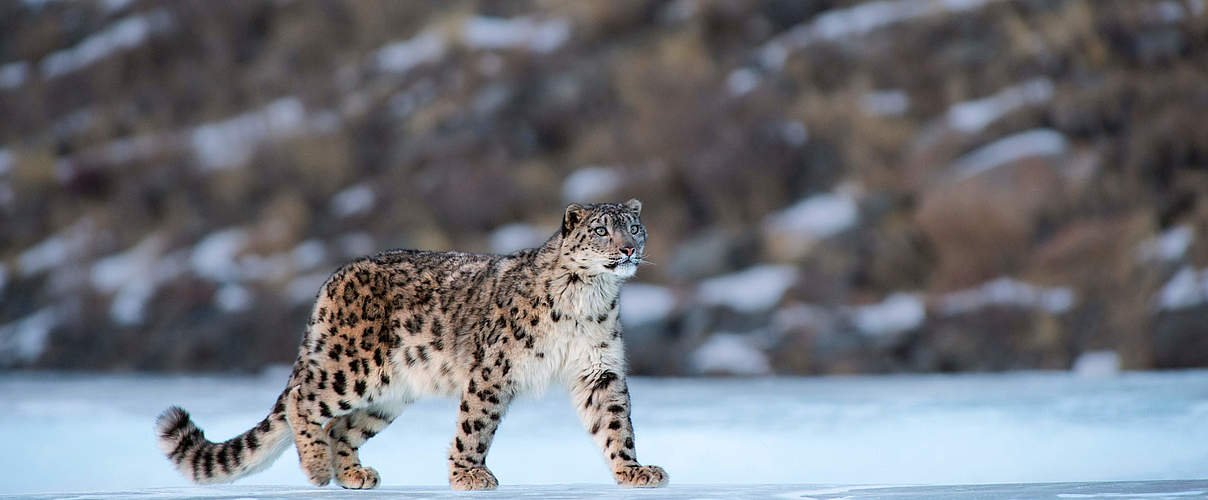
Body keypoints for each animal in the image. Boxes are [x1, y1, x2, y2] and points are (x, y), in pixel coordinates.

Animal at [153, 198, 671, 487]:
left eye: (633, 226)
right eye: (601, 230)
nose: (628, 248)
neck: (589, 299)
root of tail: (332, 280)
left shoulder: (598, 369)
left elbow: (615, 424)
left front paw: (632, 470)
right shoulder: (493, 369)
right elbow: (475, 425)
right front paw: (468, 475)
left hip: (389, 395)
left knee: (343, 428)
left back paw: (353, 475)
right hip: (351, 370)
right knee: (303, 398)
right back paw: (317, 468)